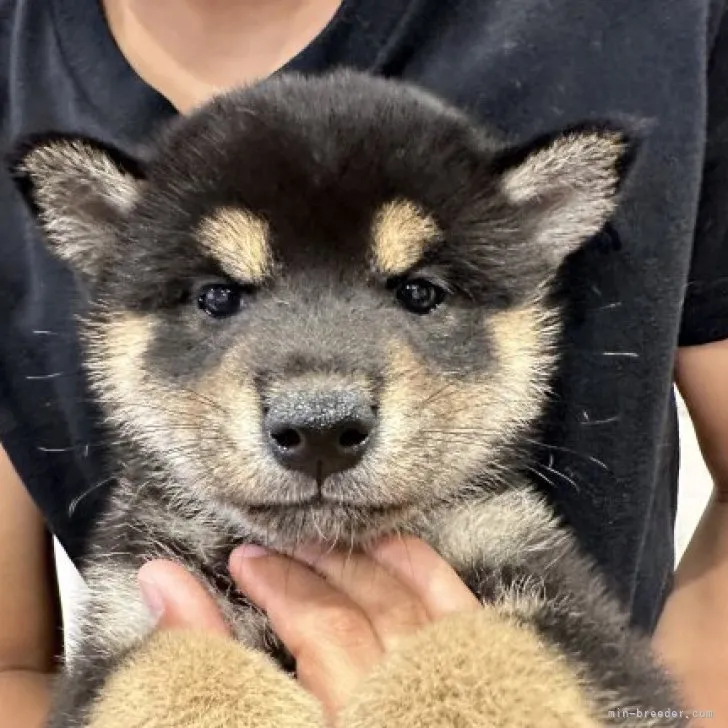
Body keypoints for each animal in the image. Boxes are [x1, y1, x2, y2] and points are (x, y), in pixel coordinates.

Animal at [9, 69, 684, 728]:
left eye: (419, 291)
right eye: (217, 296)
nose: (319, 431)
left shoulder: (572, 614)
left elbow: (477, 643)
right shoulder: (123, 616)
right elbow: (177, 664)